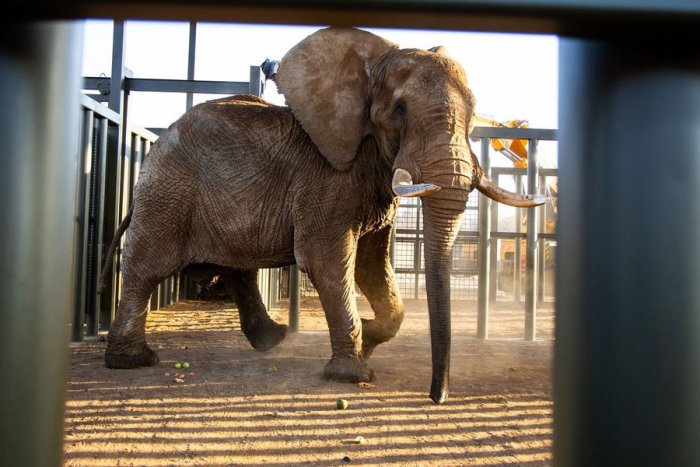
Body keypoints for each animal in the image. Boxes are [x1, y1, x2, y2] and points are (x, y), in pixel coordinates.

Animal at [101, 27, 544, 404]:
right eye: (400, 110)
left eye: (474, 112)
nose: (437, 397)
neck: (371, 66)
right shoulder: (326, 178)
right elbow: (327, 262)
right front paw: (353, 374)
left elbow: (371, 264)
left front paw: (369, 336)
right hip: (168, 193)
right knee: (147, 269)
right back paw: (132, 361)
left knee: (236, 269)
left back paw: (273, 339)